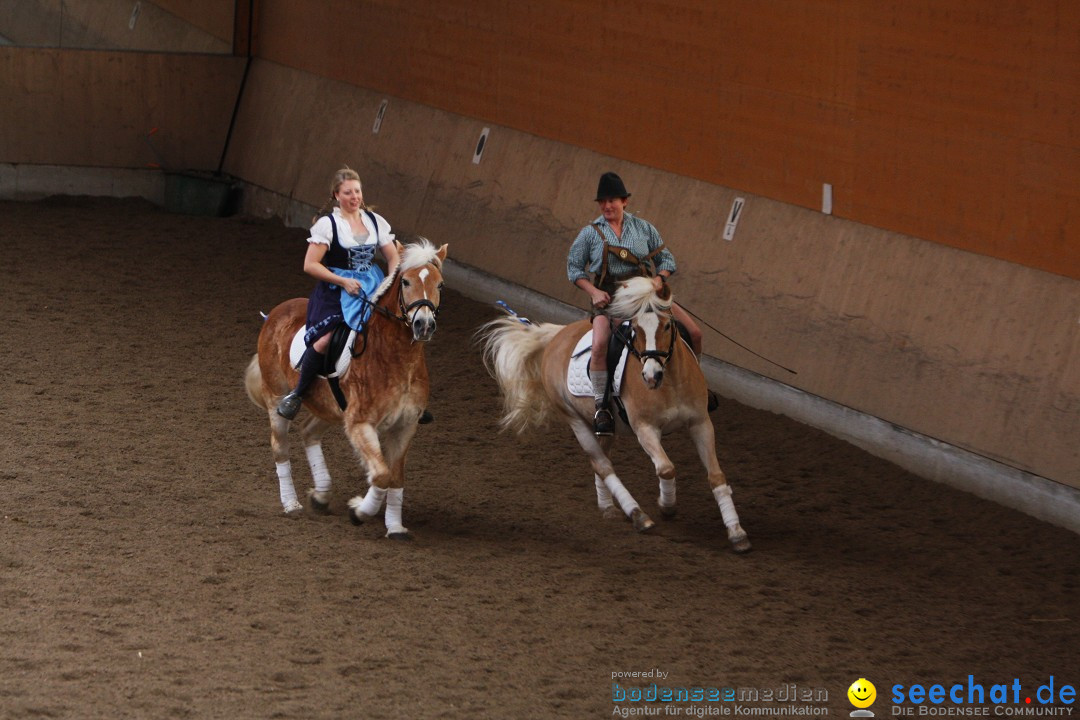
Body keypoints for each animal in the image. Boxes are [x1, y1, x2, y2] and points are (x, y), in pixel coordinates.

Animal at [245, 239, 447, 537]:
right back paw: (292, 504)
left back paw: (320, 496)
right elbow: (381, 474)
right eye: (406, 282)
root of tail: (278, 311)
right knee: (280, 446)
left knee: (308, 431)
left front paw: (395, 527)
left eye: (440, 284)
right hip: (276, 398)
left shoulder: (405, 425)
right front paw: (358, 510)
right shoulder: (361, 423)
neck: (397, 359)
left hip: (330, 408)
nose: (424, 325)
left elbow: (395, 476)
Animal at [481, 274, 751, 552]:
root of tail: (558, 335)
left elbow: (716, 476)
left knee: (602, 461)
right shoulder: (645, 428)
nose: (651, 376)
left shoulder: (700, 422)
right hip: (575, 420)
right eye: (636, 329)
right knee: (602, 465)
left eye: (667, 326)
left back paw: (608, 507)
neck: (671, 382)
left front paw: (736, 532)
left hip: (603, 427)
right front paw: (667, 506)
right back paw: (638, 515)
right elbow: (666, 468)